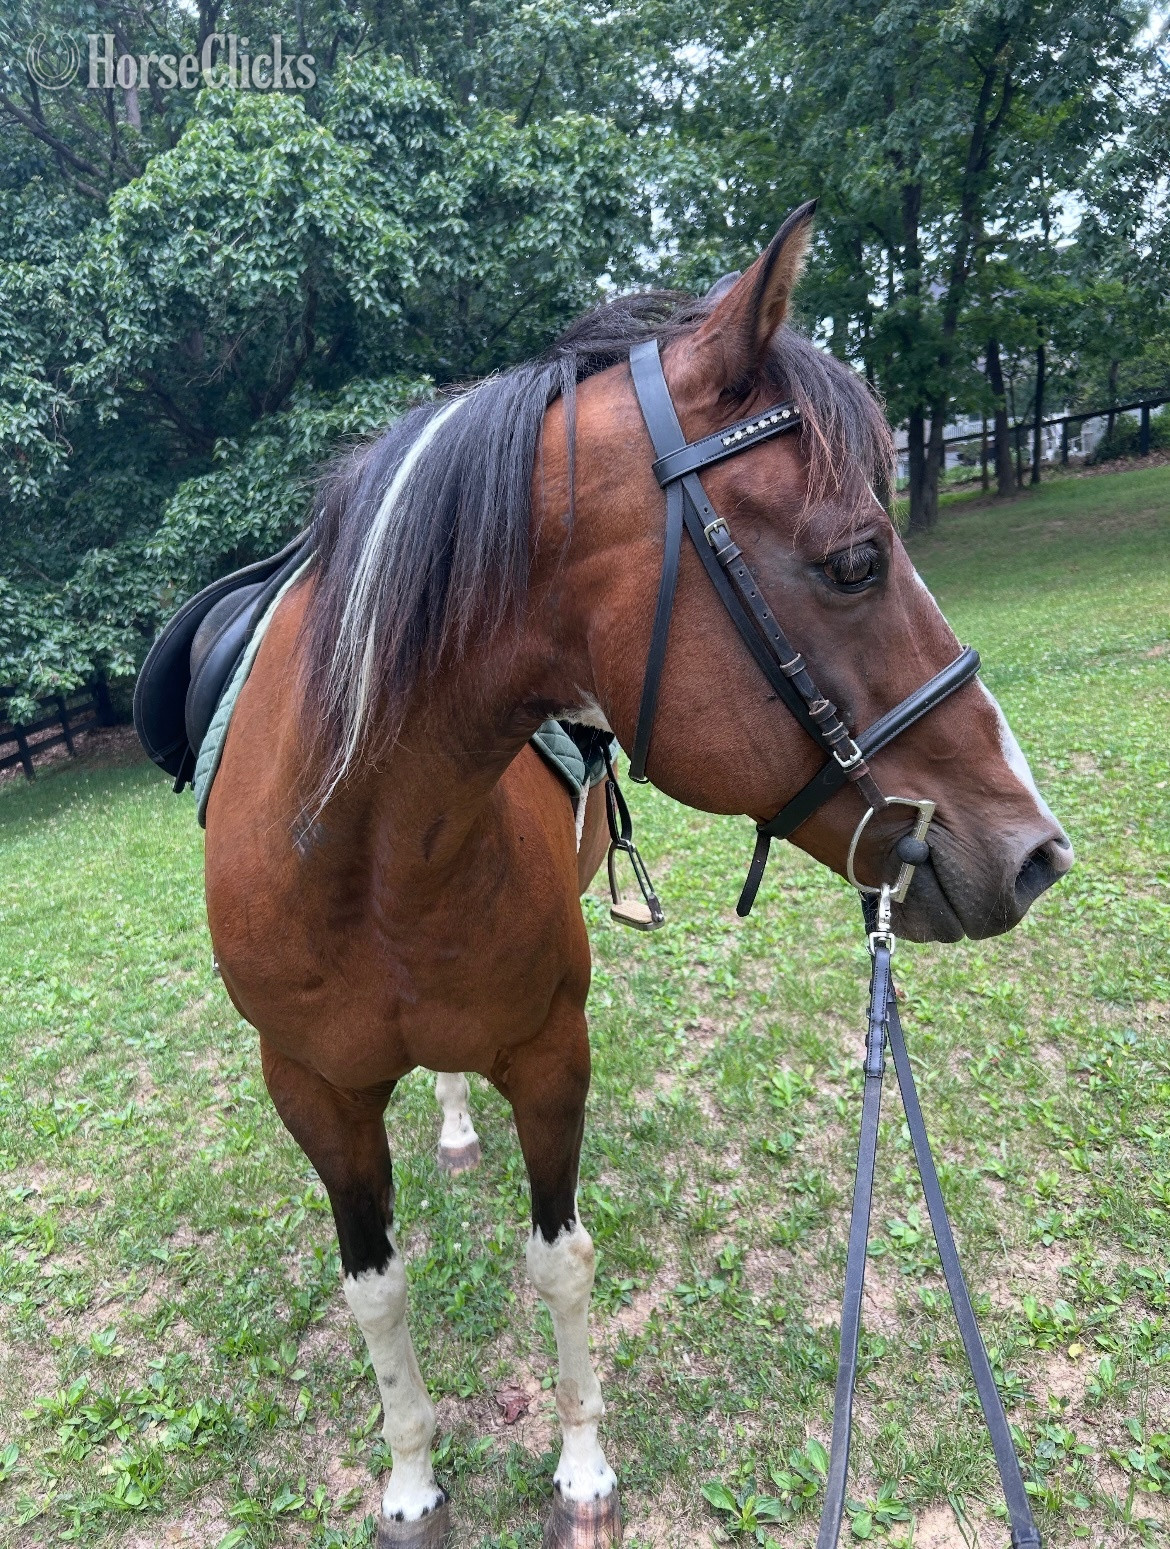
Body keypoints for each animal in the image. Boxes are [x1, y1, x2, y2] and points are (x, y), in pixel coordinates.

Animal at [200, 205, 1072, 1548]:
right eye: (856, 561)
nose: (1034, 852)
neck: (364, 850)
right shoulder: (313, 1093)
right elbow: (376, 1294)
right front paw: (409, 1479)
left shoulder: (551, 1052)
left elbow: (561, 1260)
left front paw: (580, 1468)